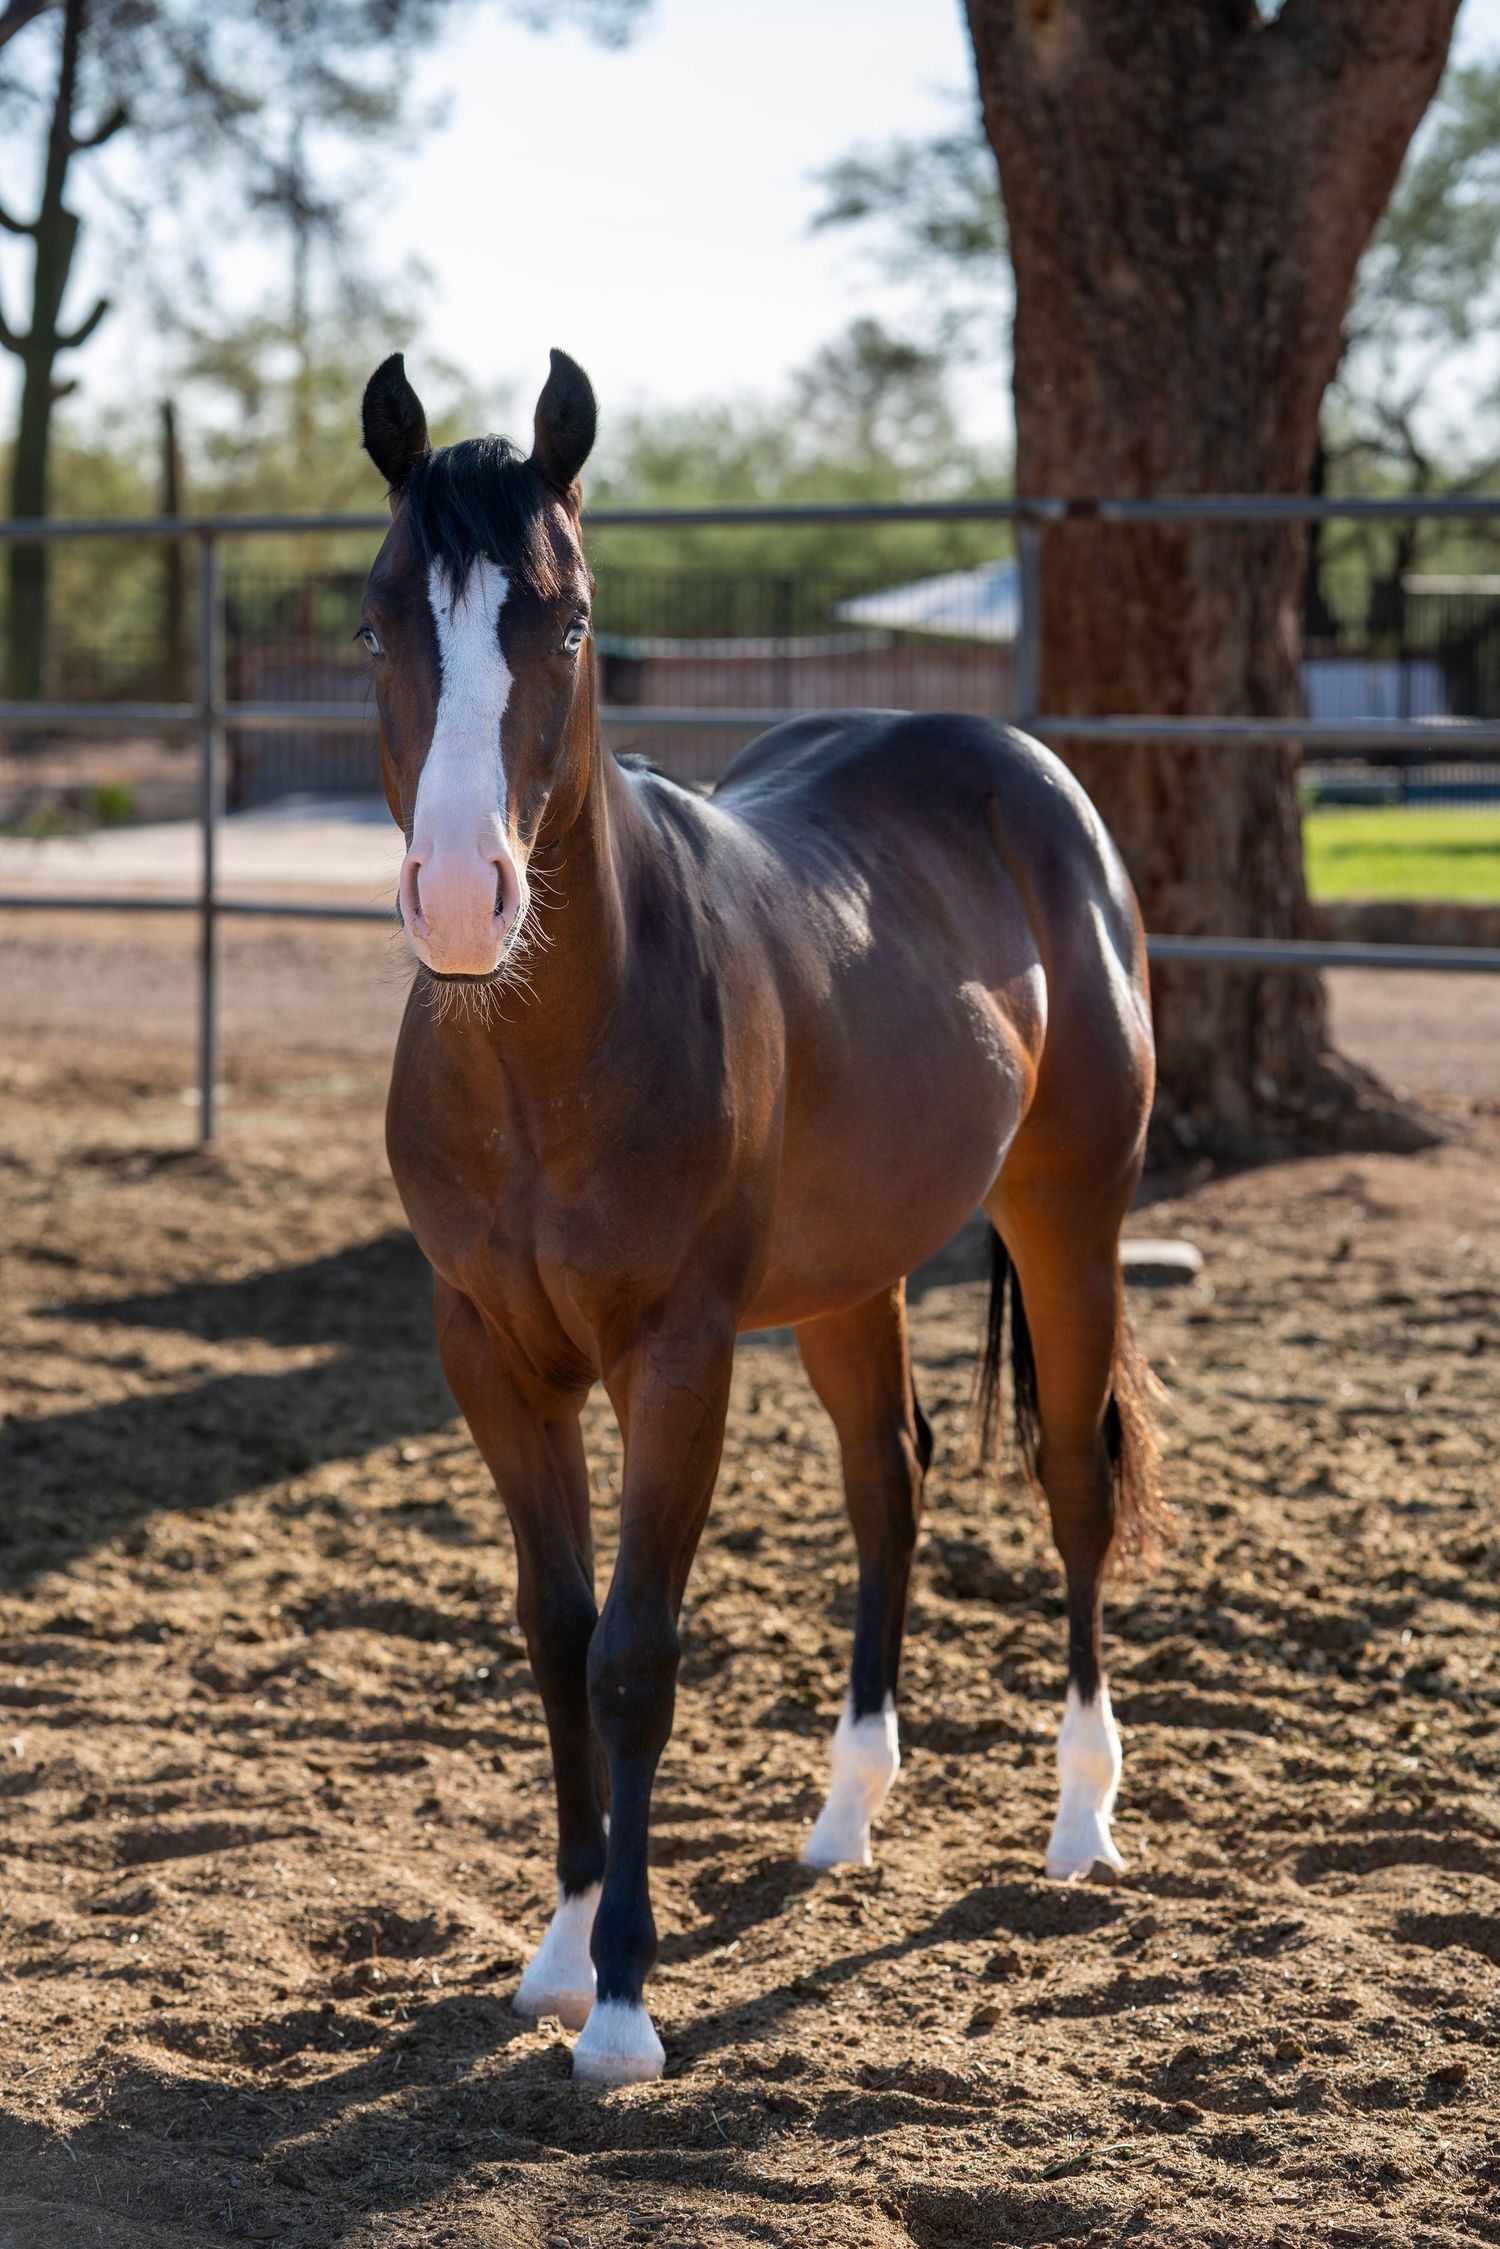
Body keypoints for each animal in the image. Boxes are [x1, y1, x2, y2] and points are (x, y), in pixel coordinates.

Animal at [358, 347, 1163, 2087]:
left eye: (567, 622)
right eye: (382, 620)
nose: (460, 899)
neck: (546, 1048)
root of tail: (1029, 777)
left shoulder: (681, 1353)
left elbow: (634, 1655)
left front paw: (622, 2005)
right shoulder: (487, 1355)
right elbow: (553, 1631)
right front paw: (559, 1951)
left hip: (1071, 1213)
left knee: (1072, 1479)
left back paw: (1080, 1823)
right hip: (856, 1276)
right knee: (890, 1482)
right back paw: (845, 1814)